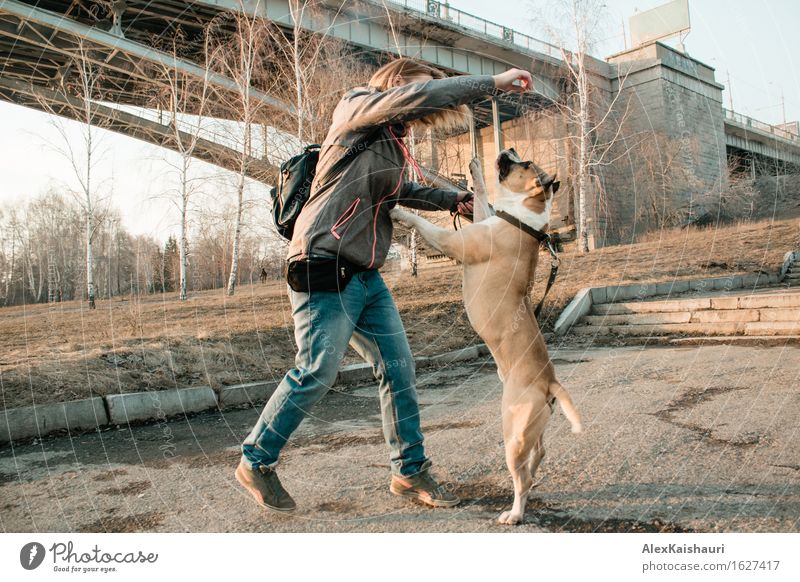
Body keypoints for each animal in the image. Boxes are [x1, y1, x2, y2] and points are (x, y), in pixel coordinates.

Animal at [390, 148, 580, 528]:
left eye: (524, 164)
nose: (507, 151)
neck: (523, 218)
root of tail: (549, 382)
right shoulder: (482, 215)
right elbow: (478, 198)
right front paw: (474, 170)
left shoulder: (453, 241)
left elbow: (427, 225)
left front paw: (399, 211)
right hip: (531, 430)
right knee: (538, 454)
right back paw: (533, 474)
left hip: (513, 431)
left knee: (521, 480)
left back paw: (515, 513)